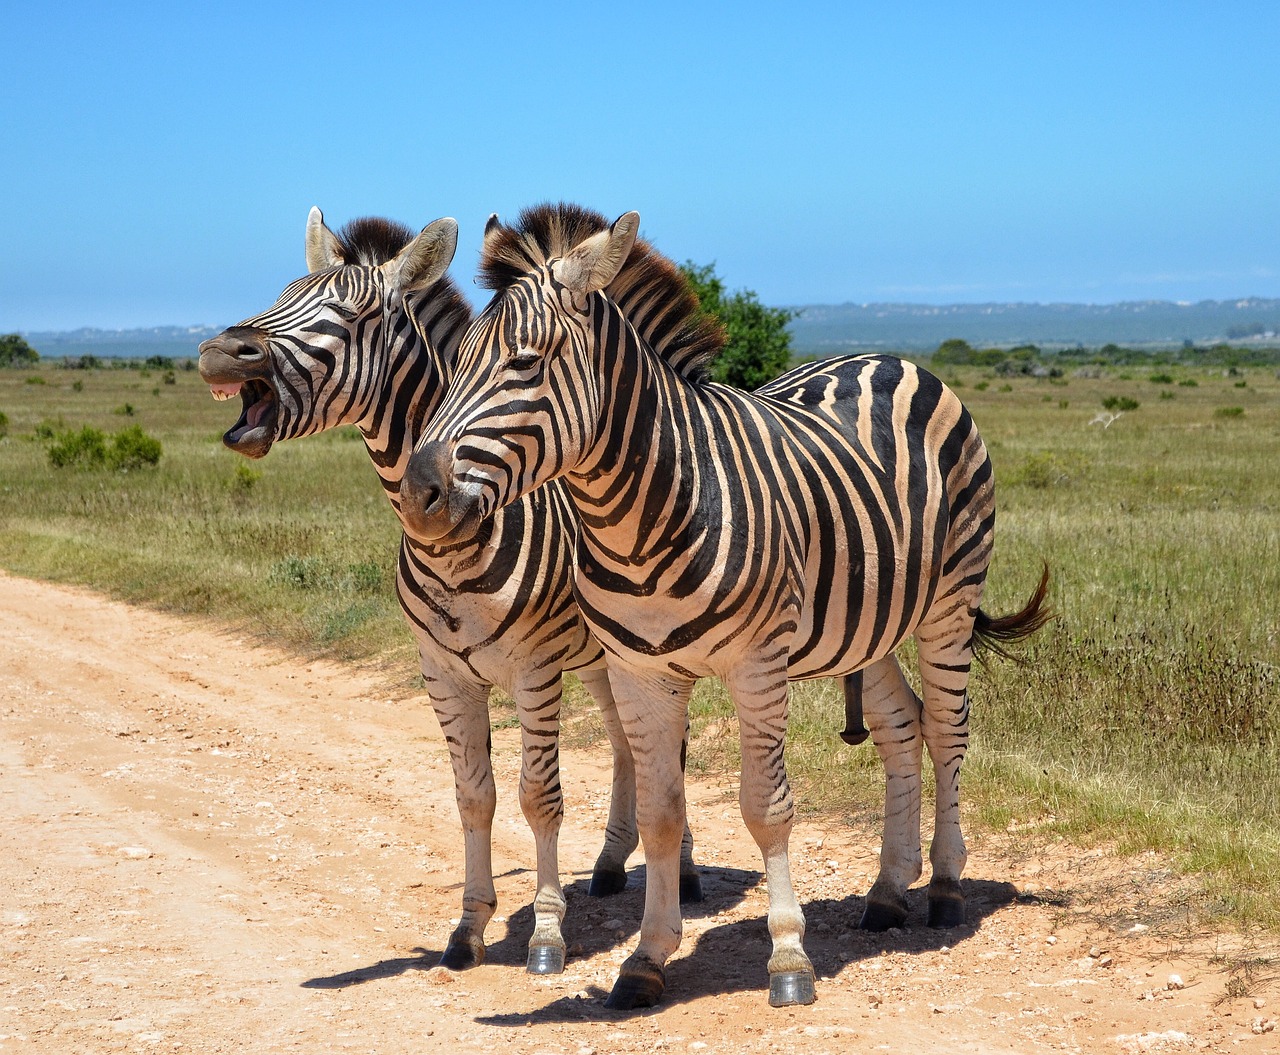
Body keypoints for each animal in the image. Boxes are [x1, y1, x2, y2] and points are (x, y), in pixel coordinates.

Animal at [194, 209, 701, 978]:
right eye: (281, 294)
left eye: (354, 314)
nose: (222, 353)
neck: (454, 542)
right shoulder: (443, 671)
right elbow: (473, 796)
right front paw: (468, 927)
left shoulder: (533, 668)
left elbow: (537, 796)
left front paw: (546, 934)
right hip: (601, 657)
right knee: (624, 744)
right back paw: (613, 862)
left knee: (672, 749)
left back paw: (689, 874)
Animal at [399, 203, 1049, 1003]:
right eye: (456, 362)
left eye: (525, 362)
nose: (419, 495)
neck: (642, 517)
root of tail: (891, 358)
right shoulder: (641, 672)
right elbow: (660, 813)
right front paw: (646, 957)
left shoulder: (757, 665)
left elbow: (765, 808)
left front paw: (789, 959)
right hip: (866, 622)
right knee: (903, 729)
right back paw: (889, 891)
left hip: (949, 603)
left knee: (949, 730)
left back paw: (947, 885)